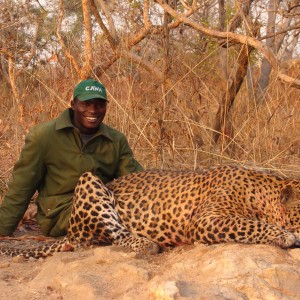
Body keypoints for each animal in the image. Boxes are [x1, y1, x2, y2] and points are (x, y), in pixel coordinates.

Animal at [0, 164, 300, 258]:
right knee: (110, 236)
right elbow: (249, 224)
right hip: (89, 181)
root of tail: (70, 230)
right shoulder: (205, 220)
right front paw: (284, 235)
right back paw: (147, 243)